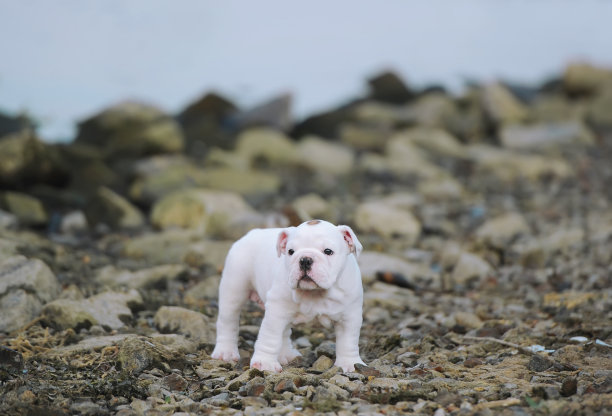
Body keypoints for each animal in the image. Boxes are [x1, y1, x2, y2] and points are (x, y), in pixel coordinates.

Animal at [212, 219, 364, 372]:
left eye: (328, 251)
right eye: (290, 252)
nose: (305, 260)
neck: (315, 292)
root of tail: (253, 232)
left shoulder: (349, 317)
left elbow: (348, 342)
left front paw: (350, 363)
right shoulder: (275, 312)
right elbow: (270, 338)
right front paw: (264, 363)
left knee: (284, 332)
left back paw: (286, 355)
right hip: (234, 289)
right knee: (228, 321)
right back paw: (225, 352)